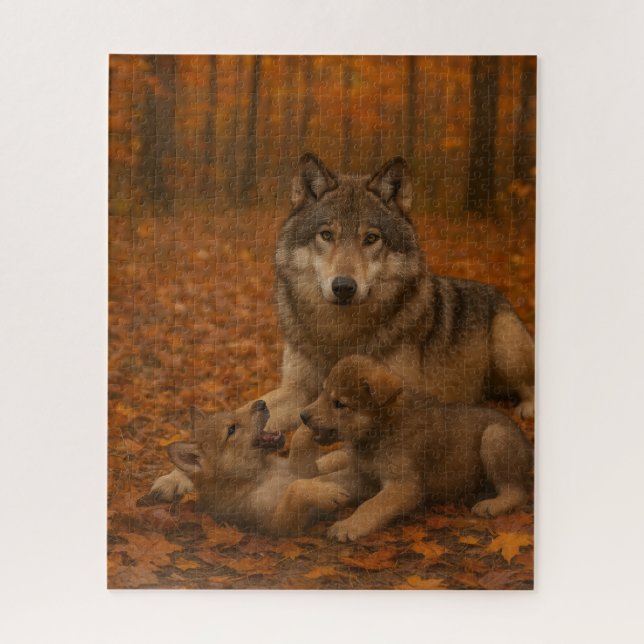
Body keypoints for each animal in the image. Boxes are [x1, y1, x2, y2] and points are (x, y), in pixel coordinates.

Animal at [149, 152, 534, 501]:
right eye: (326, 235)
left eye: (371, 238)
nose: (344, 286)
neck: (339, 334)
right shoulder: (298, 389)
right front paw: (177, 475)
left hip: (507, 346)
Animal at [149, 399, 349, 535]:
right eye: (231, 429)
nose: (261, 403)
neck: (260, 474)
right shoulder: (279, 525)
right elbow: (295, 488)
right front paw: (328, 493)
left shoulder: (304, 469)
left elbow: (299, 439)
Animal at [299, 355, 533, 542]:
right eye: (322, 392)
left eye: (339, 403)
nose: (303, 415)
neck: (382, 430)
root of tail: (528, 445)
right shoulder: (364, 476)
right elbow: (327, 480)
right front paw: (318, 492)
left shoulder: (404, 485)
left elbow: (371, 505)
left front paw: (348, 526)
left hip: (494, 436)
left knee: (516, 492)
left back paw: (492, 505)